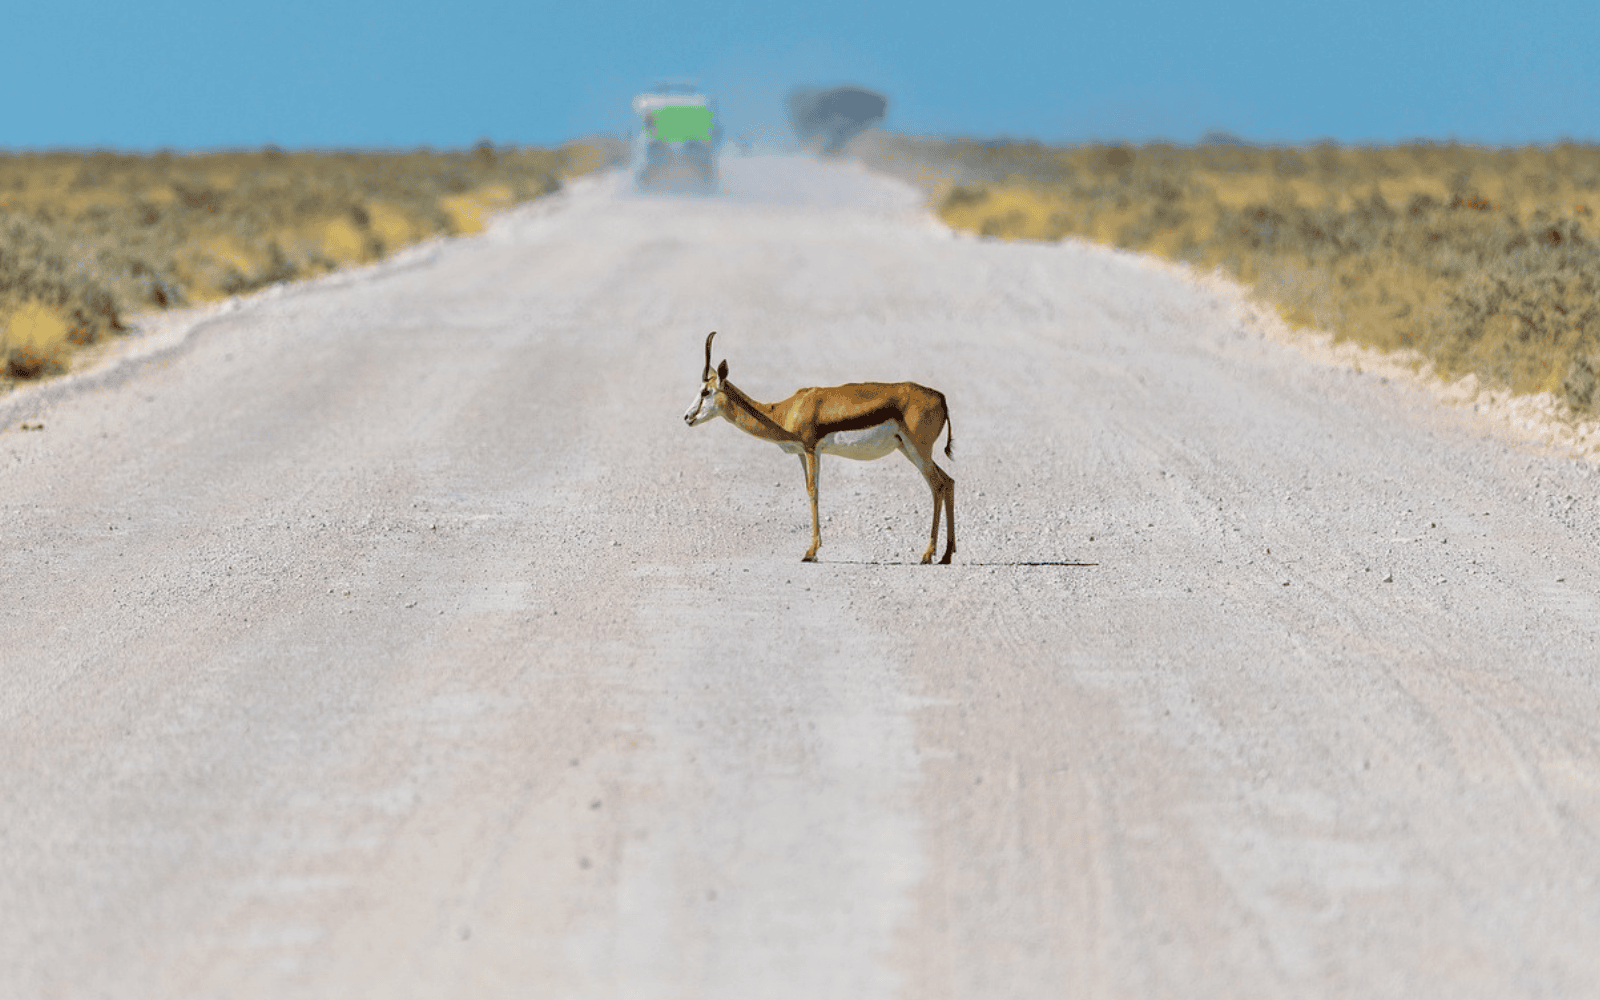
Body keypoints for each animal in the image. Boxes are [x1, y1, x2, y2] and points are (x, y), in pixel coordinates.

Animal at [682, 331, 956, 564]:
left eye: (706, 391)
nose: (687, 417)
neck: (784, 411)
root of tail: (941, 397)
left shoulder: (812, 449)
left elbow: (814, 491)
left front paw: (810, 552)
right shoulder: (803, 454)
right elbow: (808, 490)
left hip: (918, 451)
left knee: (937, 485)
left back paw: (928, 554)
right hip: (909, 450)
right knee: (948, 481)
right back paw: (946, 555)